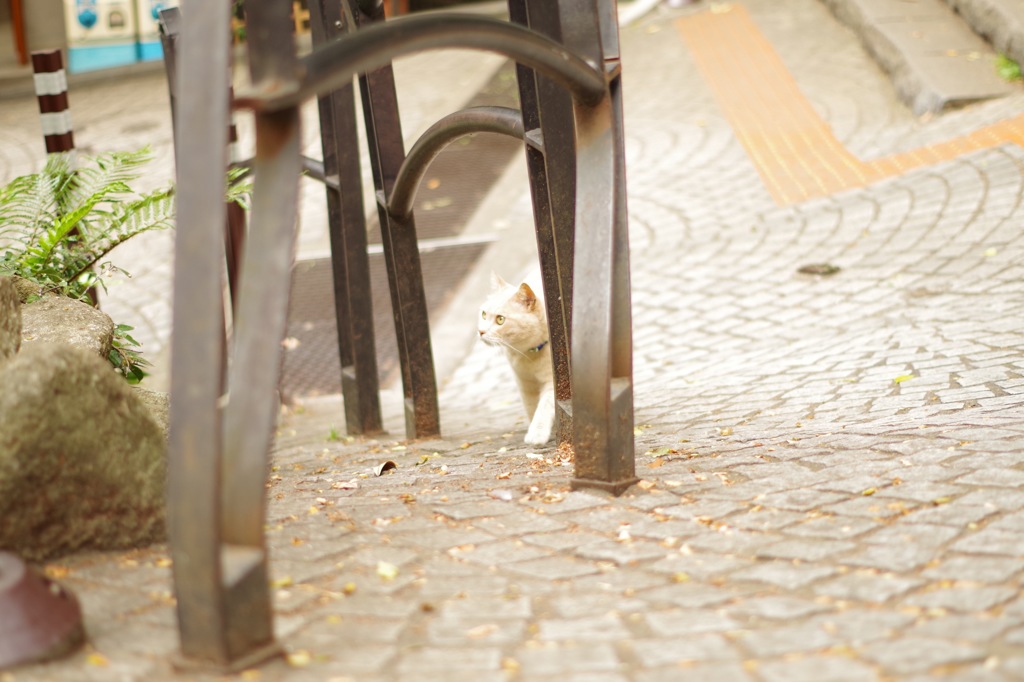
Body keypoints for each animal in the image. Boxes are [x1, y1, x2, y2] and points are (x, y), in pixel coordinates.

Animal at [477, 274, 557, 444]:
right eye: (484, 314)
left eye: (500, 319)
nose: (480, 331)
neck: (529, 355)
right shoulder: (525, 384)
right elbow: (531, 407)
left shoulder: (553, 382)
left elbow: (544, 405)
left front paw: (537, 433)